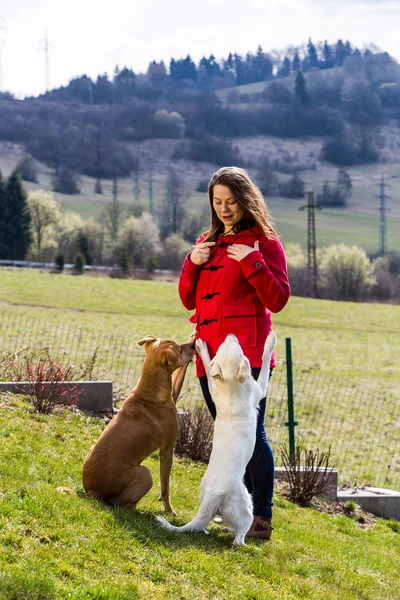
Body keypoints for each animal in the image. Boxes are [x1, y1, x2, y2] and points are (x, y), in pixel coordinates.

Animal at [82, 332, 195, 510]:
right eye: (179, 350)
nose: (193, 345)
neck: (150, 389)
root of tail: (91, 492)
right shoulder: (167, 450)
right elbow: (165, 488)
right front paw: (169, 510)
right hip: (145, 474)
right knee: (123, 504)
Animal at [155, 330, 276, 548]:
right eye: (239, 349)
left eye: (222, 348)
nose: (231, 334)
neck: (232, 385)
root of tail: (213, 495)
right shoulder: (259, 390)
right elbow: (263, 364)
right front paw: (270, 342)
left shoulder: (213, 389)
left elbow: (209, 374)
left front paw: (201, 348)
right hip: (246, 505)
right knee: (238, 538)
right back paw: (248, 545)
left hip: (209, 500)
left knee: (206, 523)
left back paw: (214, 526)